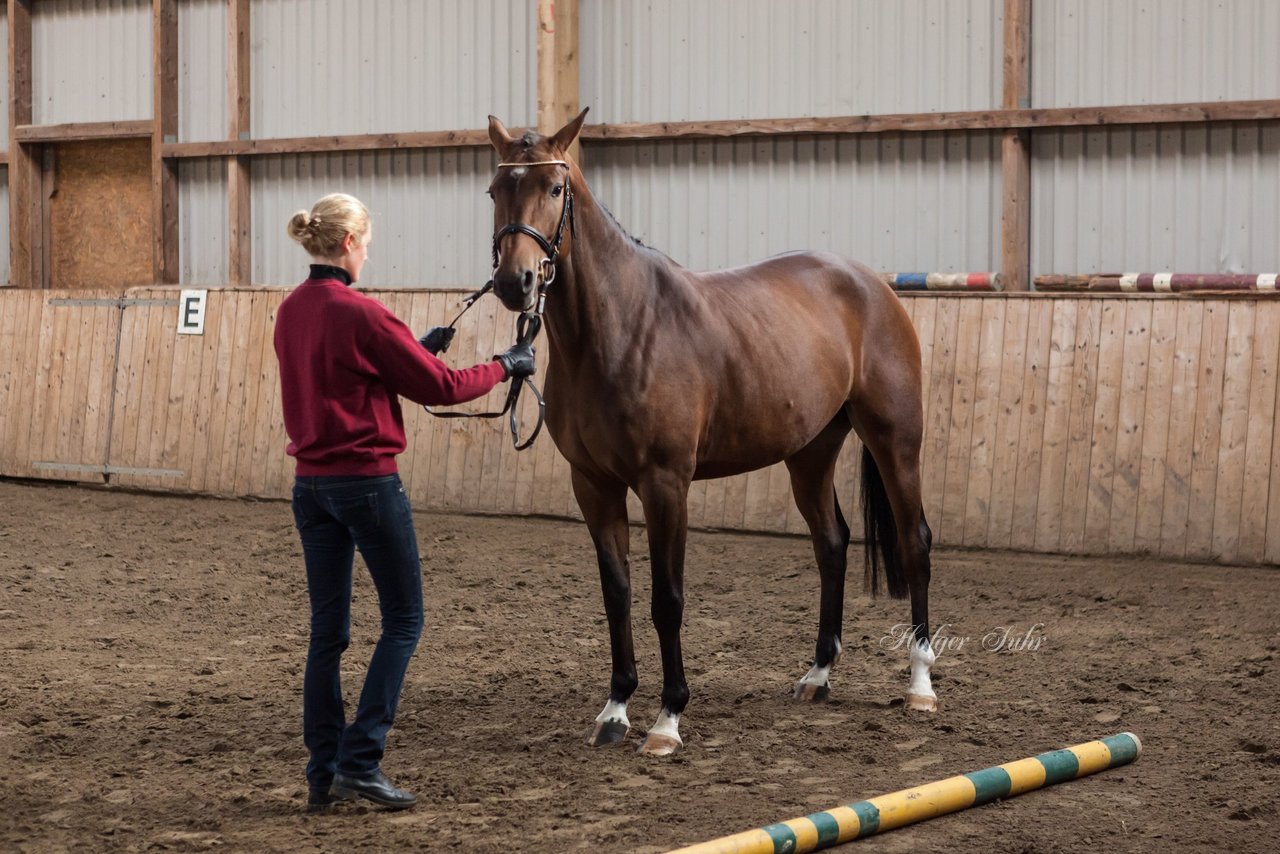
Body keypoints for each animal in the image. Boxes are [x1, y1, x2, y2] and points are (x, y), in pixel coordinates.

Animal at [483, 108, 936, 752]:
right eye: (497, 188)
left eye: (553, 188)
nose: (514, 282)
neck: (619, 330)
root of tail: (872, 285)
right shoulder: (593, 485)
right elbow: (617, 594)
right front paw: (615, 709)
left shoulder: (665, 483)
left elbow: (666, 599)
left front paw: (668, 718)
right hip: (810, 454)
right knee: (832, 543)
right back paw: (818, 675)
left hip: (895, 440)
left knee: (914, 542)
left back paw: (921, 684)